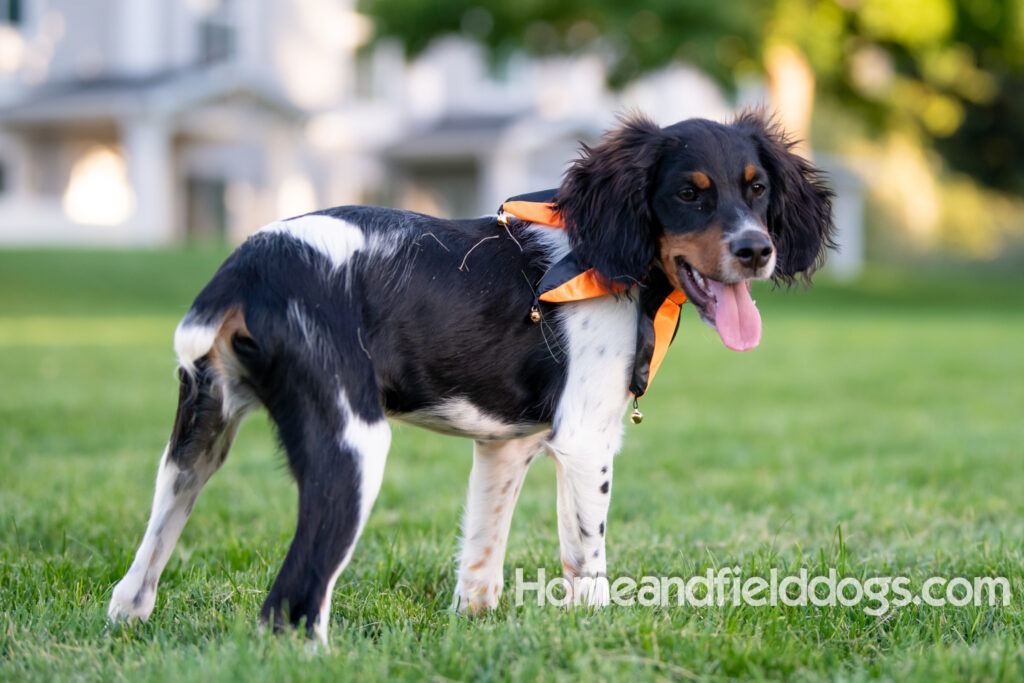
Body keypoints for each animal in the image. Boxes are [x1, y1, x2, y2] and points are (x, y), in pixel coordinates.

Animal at [108, 109, 835, 643]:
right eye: (689, 193)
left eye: (758, 188)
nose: (757, 250)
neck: (605, 260)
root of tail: (246, 268)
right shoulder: (584, 441)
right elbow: (587, 563)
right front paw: (599, 636)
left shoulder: (505, 445)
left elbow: (481, 561)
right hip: (352, 444)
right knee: (292, 604)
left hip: (196, 442)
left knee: (138, 576)